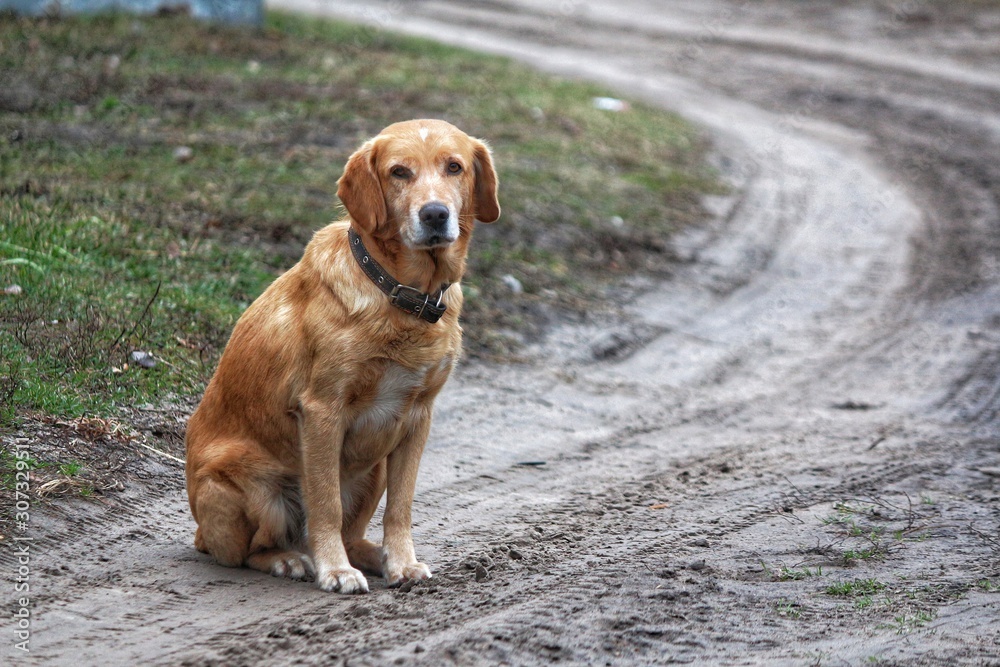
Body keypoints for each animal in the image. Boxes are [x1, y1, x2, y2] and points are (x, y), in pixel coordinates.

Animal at [184, 120, 500, 596]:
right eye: (399, 172)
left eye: (454, 167)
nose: (434, 214)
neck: (400, 295)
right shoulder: (322, 412)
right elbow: (325, 505)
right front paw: (334, 570)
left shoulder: (417, 417)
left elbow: (401, 508)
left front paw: (401, 562)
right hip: (253, 484)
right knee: (248, 550)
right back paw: (291, 560)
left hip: (375, 466)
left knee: (353, 533)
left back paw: (373, 556)